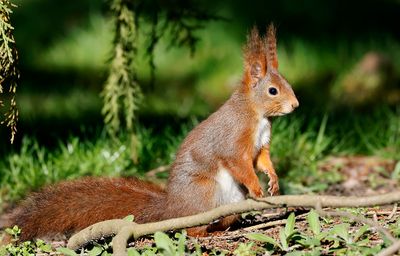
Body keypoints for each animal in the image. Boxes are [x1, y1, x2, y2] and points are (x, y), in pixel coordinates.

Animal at [1, 23, 298, 240]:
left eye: (286, 83)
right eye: (273, 90)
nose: (295, 105)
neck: (257, 115)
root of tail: (172, 209)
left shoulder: (261, 143)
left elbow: (262, 159)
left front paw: (273, 179)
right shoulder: (234, 138)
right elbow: (239, 162)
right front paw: (258, 188)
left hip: (231, 200)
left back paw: (224, 226)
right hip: (205, 192)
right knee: (191, 228)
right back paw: (205, 233)